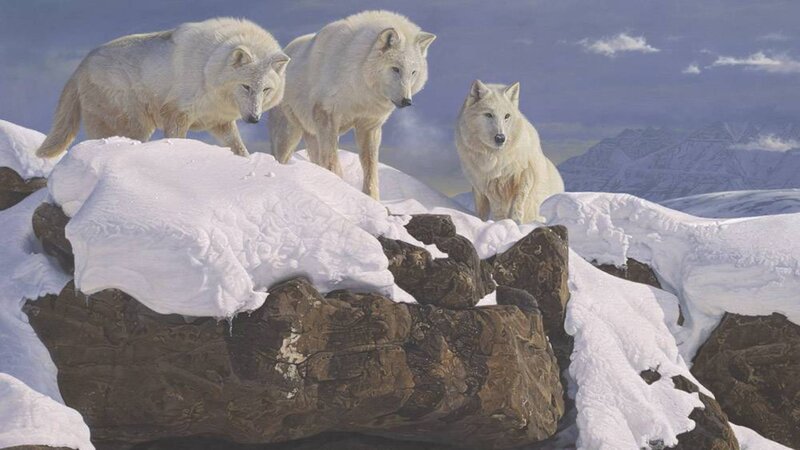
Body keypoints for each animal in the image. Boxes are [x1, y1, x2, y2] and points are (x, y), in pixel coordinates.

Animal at [36, 18, 289, 158]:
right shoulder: (177, 115)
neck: (208, 69)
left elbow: (239, 148)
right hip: (135, 126)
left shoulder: (219, 122)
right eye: (246, 87)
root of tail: (81, 65)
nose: (254, 119)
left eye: (265, 90)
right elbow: (178, 139)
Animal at [269, 10, 435, 199]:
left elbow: (370, 167)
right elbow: (332, 161)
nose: (407, 101)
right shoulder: (327, 116)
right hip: (288, 134)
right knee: (281, 157)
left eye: (413, 72)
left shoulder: (369, 125)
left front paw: (372, 199)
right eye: (395, 69)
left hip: (311, 133)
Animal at [456, 80, 564, 223]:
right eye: (489, 115)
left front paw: (516, 221)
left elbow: (518, 201)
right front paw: (500, 222)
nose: (500, 138)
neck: (495, 158)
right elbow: (496, 210)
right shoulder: (487, 184)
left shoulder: (524, 174)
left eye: (507, 116)